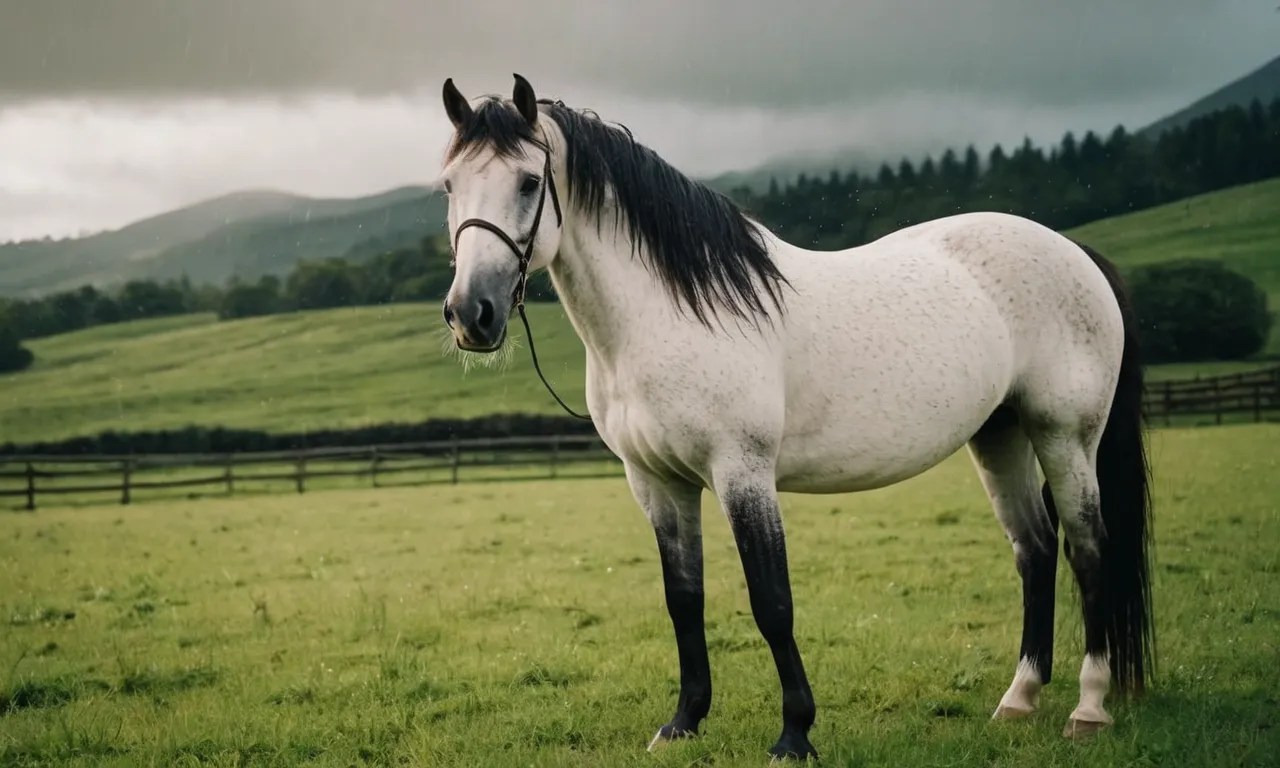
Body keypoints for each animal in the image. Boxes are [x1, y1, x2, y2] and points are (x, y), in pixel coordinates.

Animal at [434, 74, 1154, 761]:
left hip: (1065, 438)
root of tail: (1078, 254)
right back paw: (1020, 698)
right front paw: (683, 723)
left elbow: (771, 601)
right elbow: (683, 599)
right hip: (999, 435)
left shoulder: (742, 473)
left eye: (529, 182)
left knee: (1089, 549)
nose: (472, 315)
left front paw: (795, 734)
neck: (666, 313)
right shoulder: (657, 482)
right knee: (1034, 550)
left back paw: (1088, 708)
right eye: (449, 185)